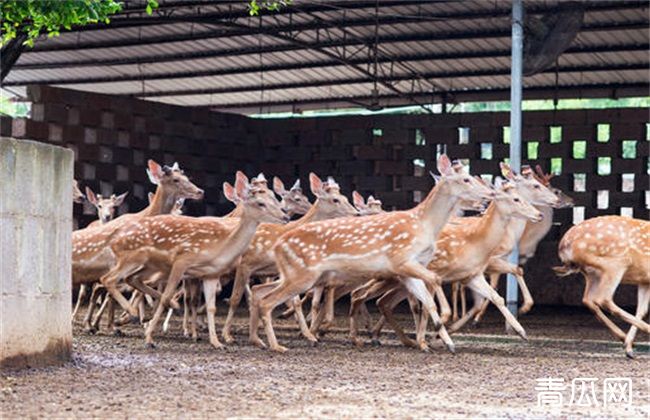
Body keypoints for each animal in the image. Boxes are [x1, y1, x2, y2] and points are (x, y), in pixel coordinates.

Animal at [103, 171, 286, 348]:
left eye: (273, 197)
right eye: (261, 203)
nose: (284, 216)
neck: (219, 248)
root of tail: (115, 238)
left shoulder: (210, 274)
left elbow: (211, 307)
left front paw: (216, 342)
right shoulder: (183, 261)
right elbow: (167, 297)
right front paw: (149, 338)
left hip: (151, 265)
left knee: (132, 279)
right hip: (132, 257)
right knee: (110, 279)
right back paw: (131, 318)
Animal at [220, 172, 356, 342]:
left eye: (345, 197)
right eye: (335, 199)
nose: (356, 213)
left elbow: (295, 300)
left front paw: (308, 334)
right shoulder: (246, 263)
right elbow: (236, 298)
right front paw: (227, 335)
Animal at [248, 154, 492, 352]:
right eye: (466, 179)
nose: (489, 194)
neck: (425, 225)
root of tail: (279, 245)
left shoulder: (408, 271)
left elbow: (426, 299)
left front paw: (444, 341)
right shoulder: (401, 259)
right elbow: (435, 279)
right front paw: (442, 322)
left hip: (295, 274)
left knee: (259, 292)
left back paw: (262, 340)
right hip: (302, 274)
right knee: (268, 301)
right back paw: (278, 345)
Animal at [552, 217, 648, 358]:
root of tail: (564, 245)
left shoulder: (644, 280)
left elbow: (641, 310)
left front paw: (629, 347)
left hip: (591, 273)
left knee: (588, 299)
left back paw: (625, 340)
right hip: (616, 263)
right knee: (603, 299)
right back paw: (644, 330)